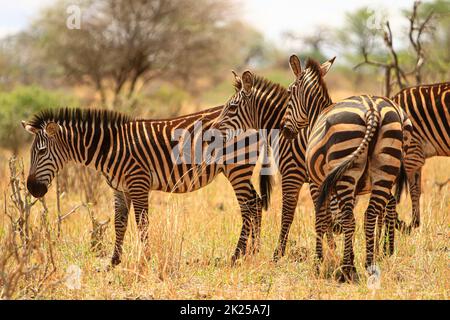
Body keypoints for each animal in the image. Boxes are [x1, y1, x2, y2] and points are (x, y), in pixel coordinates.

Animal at [22, 106, 270, 266]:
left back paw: (237, 255)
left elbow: (142, 224)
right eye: (32, 152)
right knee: (256, 203)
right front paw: (114, 261)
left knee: (248, 207)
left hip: (237, 167)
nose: (33, 189)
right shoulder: (119, 188)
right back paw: (254, 252)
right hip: (241, 170)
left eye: (41, 152)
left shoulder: (138, 183)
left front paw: (146, 260)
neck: (109, 148)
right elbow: (120, 223)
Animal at [284, 55, 414, 282]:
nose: (284, 130)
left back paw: (348, 269)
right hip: (385, 169)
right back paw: (371, 262)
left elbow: (322, 219)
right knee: (371, 213)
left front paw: (319, 262)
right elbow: (337, 219)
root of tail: (372, 110)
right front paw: (343, 254)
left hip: (346, 167)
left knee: (351, 218)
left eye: (290, 91)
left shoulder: (316, 183)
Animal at [390, 82, 450, 230]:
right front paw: (413, 223)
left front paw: (411, 224)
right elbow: (416, 189)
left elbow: (414, 191)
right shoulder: (415, 154)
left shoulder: (413, 152)